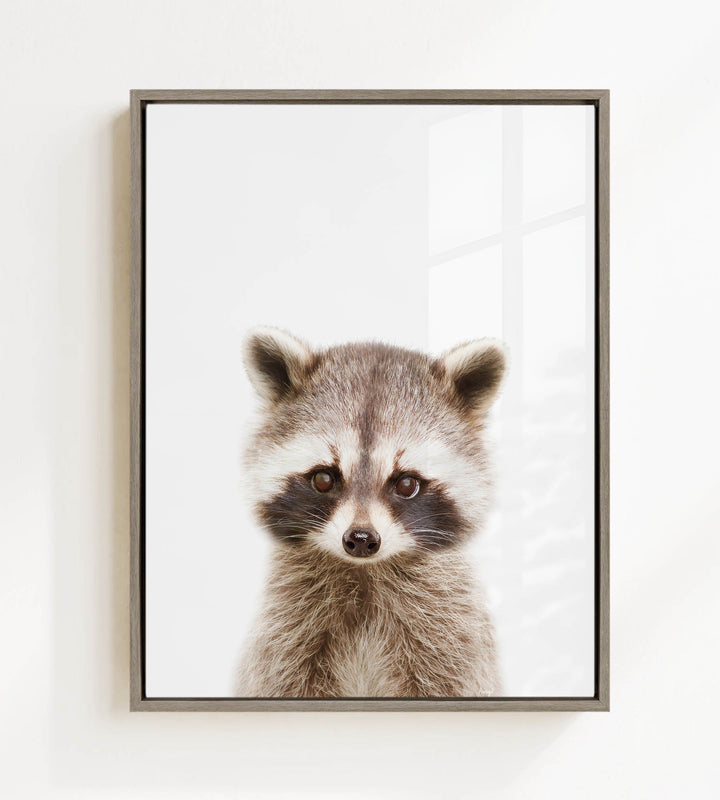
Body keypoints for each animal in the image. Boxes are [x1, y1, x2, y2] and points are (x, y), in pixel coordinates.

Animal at [235, 326, 506, 698]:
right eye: (323, 479)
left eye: (406, 484)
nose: (361, 539)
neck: (364, 573)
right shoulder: (285, 633)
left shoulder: (451, 637)